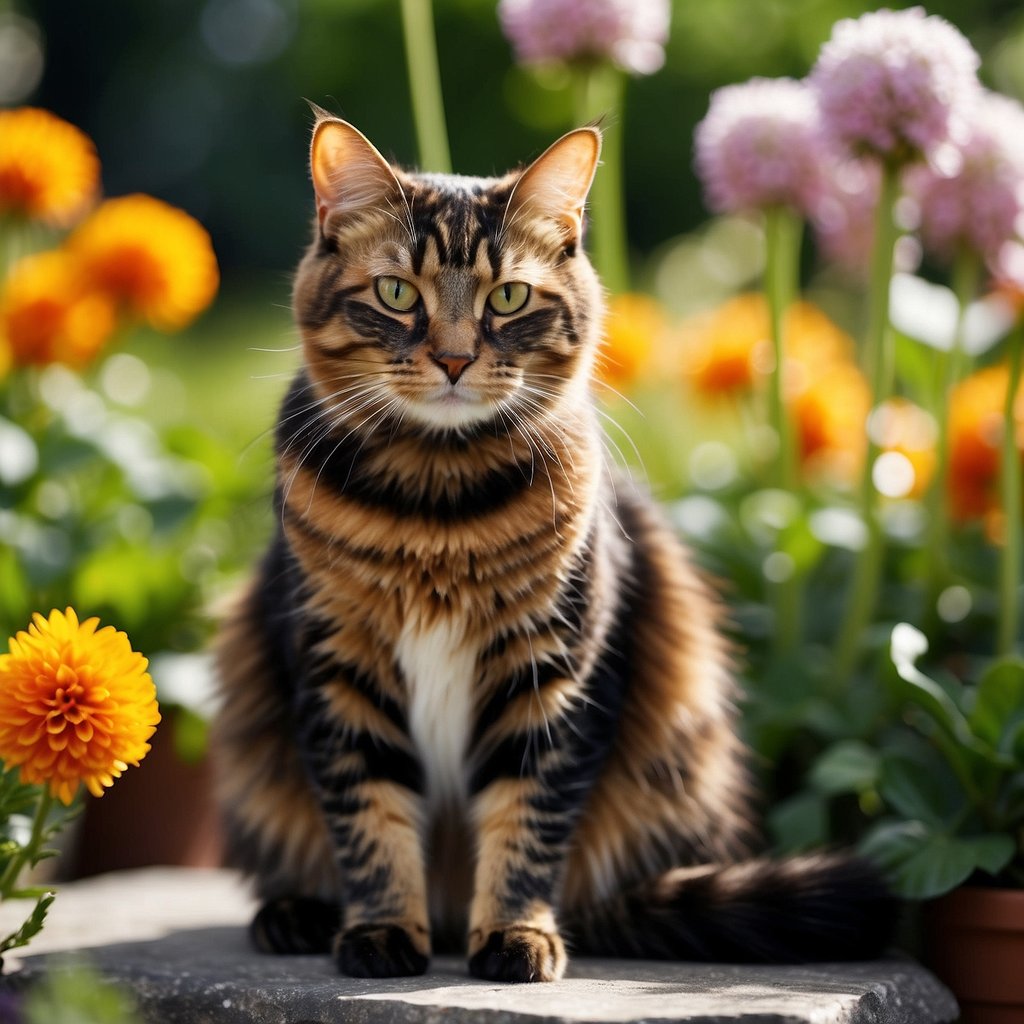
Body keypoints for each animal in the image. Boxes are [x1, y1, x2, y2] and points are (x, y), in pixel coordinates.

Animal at [211, 114, 892, 983]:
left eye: (508, 298)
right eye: (398, 294)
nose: (454, 359)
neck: (436, 503)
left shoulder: (554, 668)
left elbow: (527, 819)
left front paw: (514, 935)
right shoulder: (339, 666)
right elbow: (369, 817)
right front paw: (382, 931)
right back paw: (298, 913)